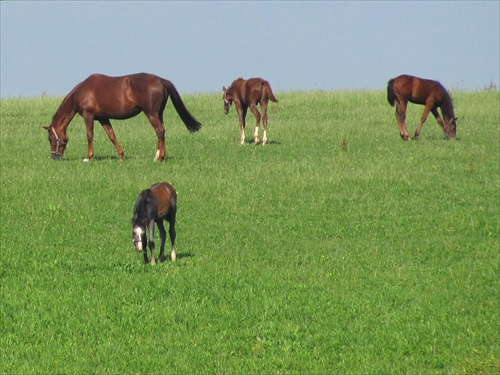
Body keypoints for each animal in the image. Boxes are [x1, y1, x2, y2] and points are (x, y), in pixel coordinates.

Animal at [43, 73, 202, 162]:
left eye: (51, 138)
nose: (54, 157)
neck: (82, 90)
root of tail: (160, 80)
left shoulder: (89, 116)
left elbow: (89, 135)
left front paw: (88, 157)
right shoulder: (103, 118)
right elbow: (112, 136)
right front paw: (121, 156)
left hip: (151, 113)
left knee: (160, 131)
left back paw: (160, 157)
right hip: (159, 113)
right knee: (161, 132)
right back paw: (158, 155)